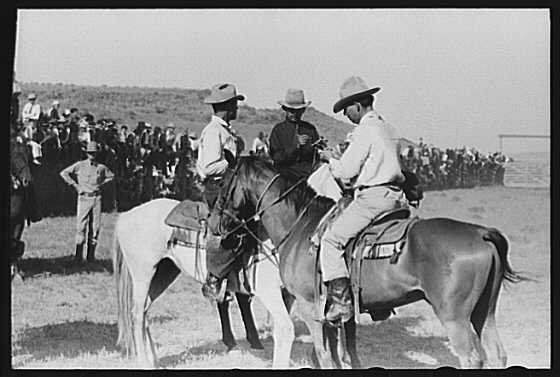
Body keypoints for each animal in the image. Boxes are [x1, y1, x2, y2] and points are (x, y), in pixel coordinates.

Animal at [208, 155, 528, 368]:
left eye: (222, 184)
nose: (214, 223)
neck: (301, 225)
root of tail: (480, 232)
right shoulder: (332, 313)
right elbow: (340, 352)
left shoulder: (311, 308)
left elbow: (324, 355)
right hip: (484, 313)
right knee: (497, 354)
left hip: (455, 318)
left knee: (472, 358)